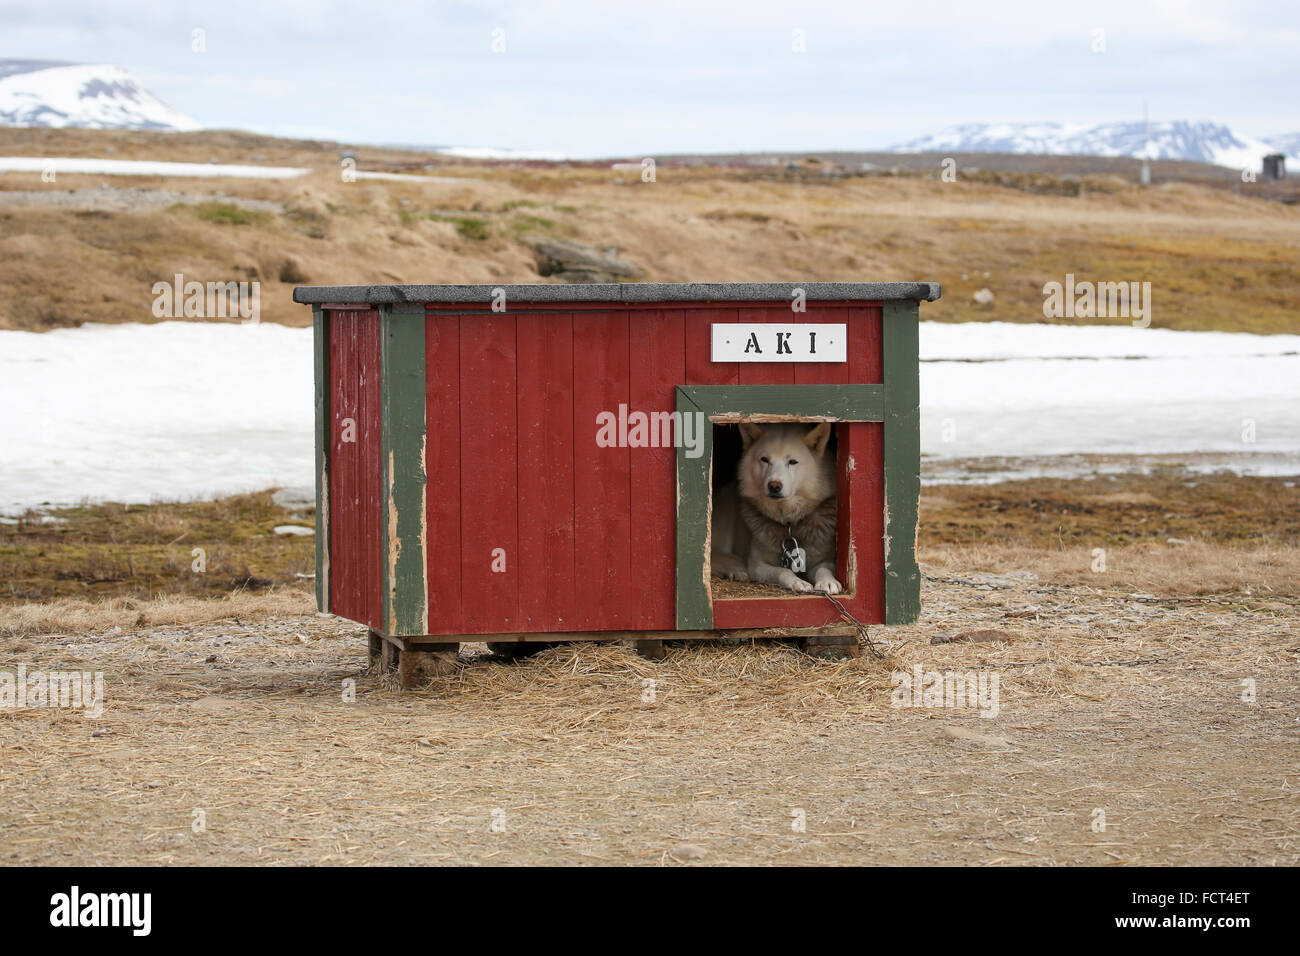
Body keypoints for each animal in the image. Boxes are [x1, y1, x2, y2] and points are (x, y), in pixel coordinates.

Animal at [712, 421, 842, 595]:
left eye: (792, 462)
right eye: (764, 459)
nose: (774, 486)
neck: (788, 522)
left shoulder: (825, 559)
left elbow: (823, 569)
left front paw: (828, 582)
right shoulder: (758, 565)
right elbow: (783, 570)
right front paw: (797, 582)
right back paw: (737, 571)